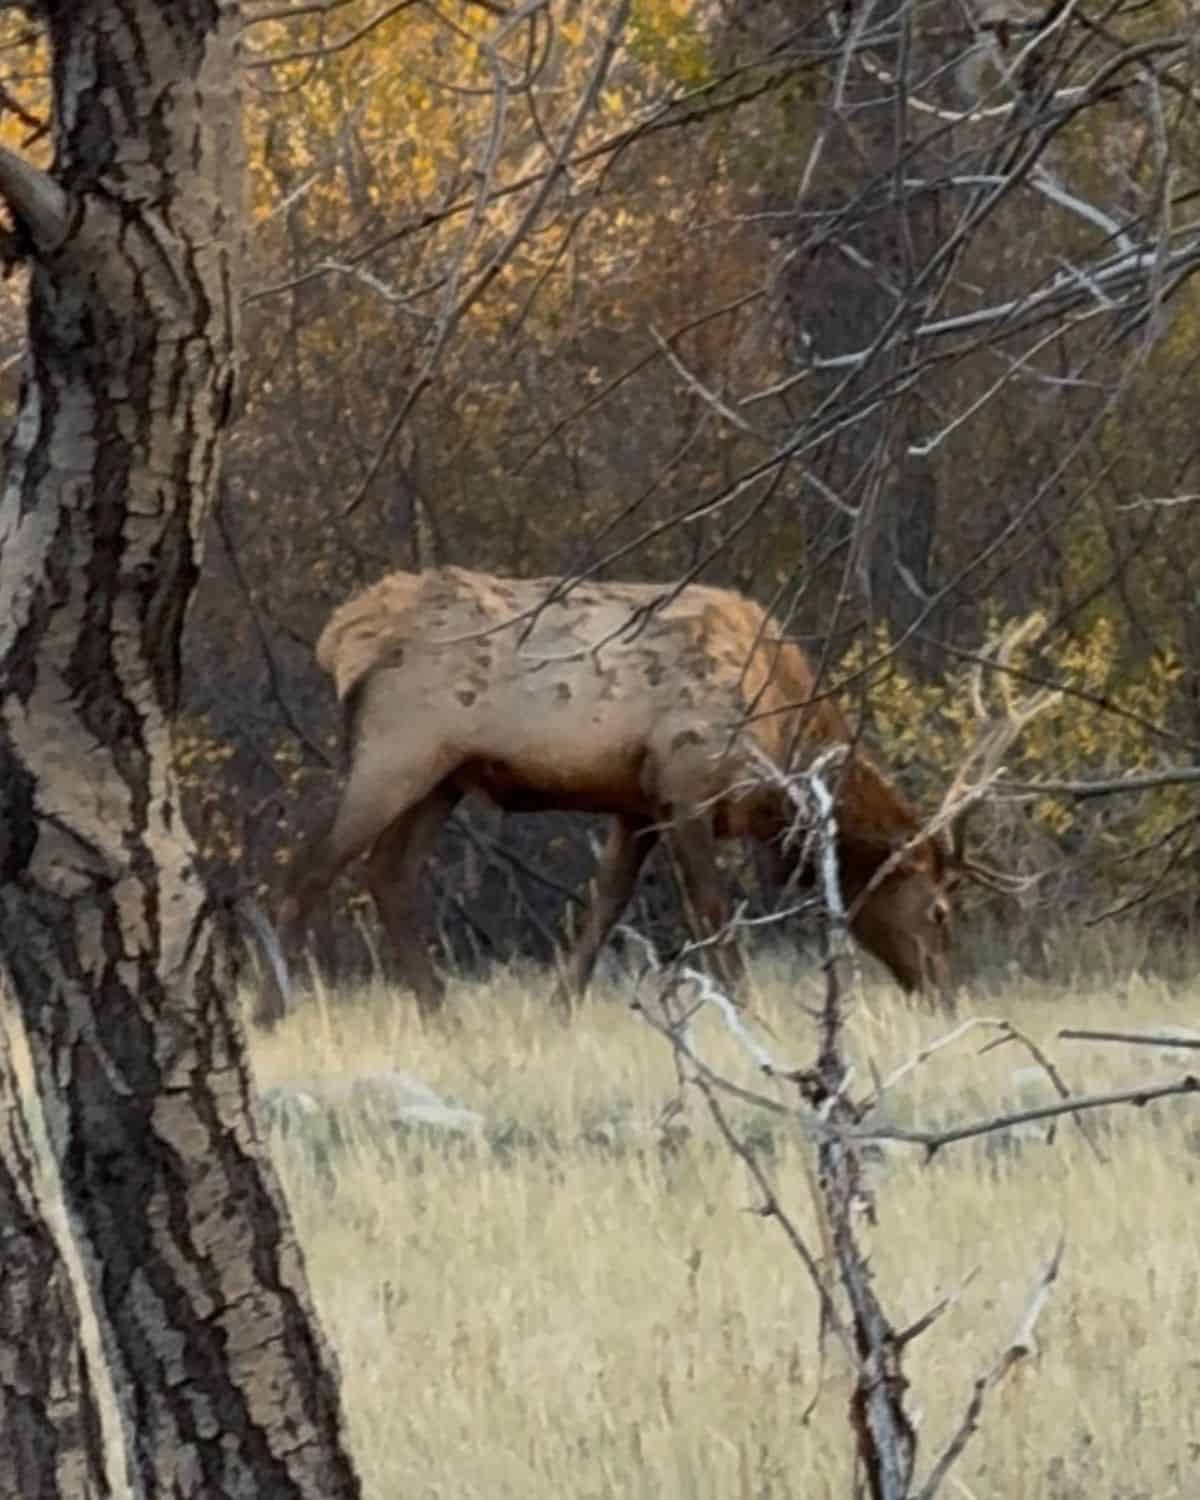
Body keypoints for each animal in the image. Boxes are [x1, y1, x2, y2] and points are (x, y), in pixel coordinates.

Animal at [255, 567, 1055, 1026]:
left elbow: (604, 905)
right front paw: (746, 1011)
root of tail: (342, 633)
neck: (782, 738)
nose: (945, 996)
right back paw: (270, 1012)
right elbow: (712, 912)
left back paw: (442, 1017)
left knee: (387, 875)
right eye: (940, 909)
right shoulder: (686, 781)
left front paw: (559, 1011)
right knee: (310, 868)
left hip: (444, 776)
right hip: (399, 748)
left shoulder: (634, 803)